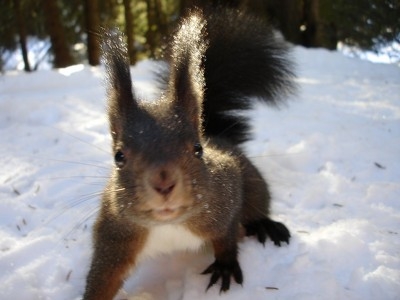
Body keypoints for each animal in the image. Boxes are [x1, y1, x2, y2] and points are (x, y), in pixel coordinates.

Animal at [83, 5, 296, 300]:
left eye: (197, 149)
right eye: (119, 156)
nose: (164, 183)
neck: (168, 225)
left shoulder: (224, 201)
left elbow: (227, 236)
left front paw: (225, 265)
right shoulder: (114, 237)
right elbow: (102, 278)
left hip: (254, 184)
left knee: (256, 207)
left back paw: (265, 225)